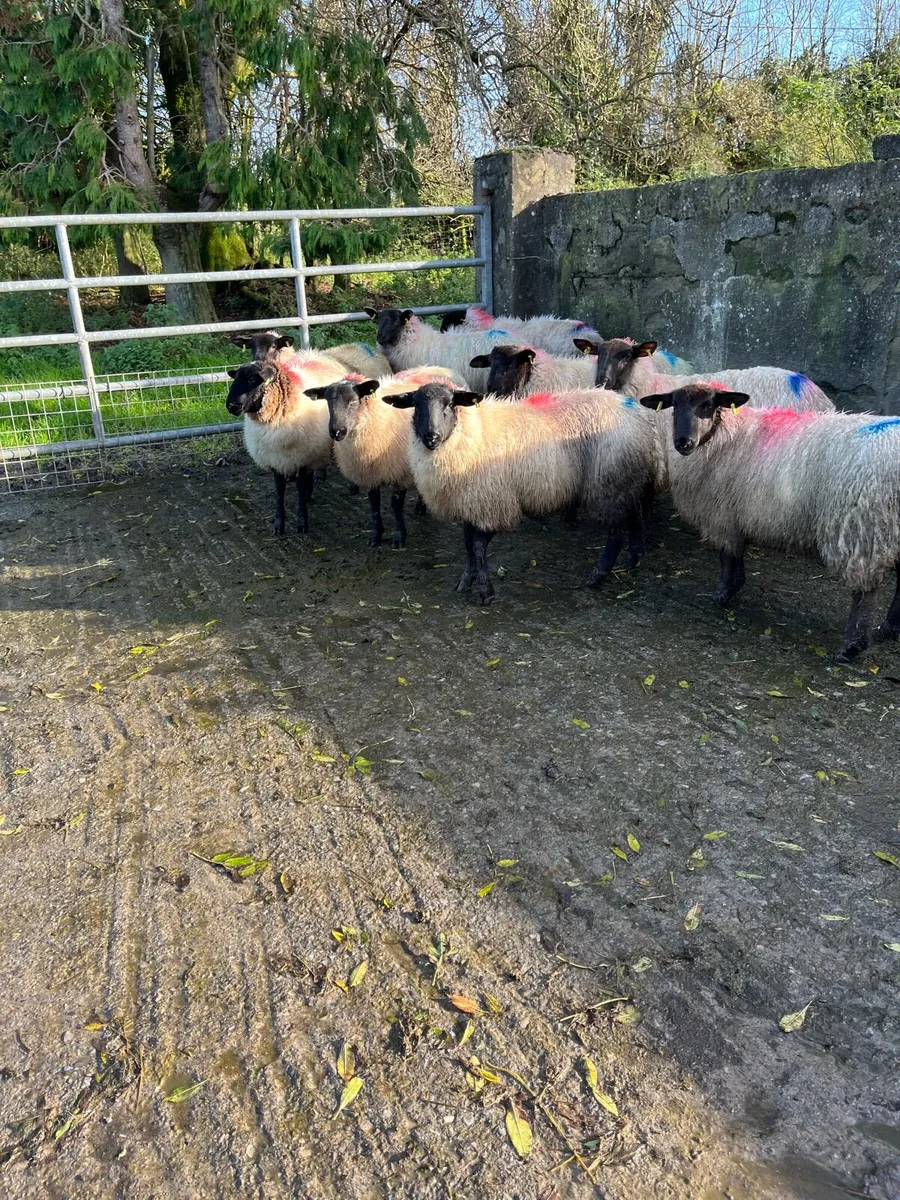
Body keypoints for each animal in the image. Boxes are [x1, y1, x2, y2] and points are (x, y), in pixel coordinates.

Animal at [225, 351, 347, 534]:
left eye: (253, 379)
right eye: (236, 378)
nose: (231, 405)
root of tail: (315, 353)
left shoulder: (301, 457)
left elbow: (300, 487)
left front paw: (302, 521)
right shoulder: (276, 458)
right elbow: (279, 491)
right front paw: (279, 523)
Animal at [303, 366, 466, 548]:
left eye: (353, 402)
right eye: (327, 403)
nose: (336, 432)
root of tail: (442, 368)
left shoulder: (402, 472)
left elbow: (396, 504)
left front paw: (399, 536)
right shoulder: (371, 472)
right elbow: (374, 503)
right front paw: (375, 535)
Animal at [383, 381, 664, 604]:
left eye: (450, 403)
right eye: (416, 405)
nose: (432, 437)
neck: (470, 433)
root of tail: (642, 420)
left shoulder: (494, 504)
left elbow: (478, 547)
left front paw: (485, 592)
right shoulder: (470, 503)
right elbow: (467, 545)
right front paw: (466, 580)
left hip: (608, 483)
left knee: (616, 533)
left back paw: (598, 575)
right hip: (627, 480)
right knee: (635, 516)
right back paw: (632, 559)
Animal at [641, 383, 900, 659]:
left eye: (708, 405)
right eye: (674, 406)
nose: (683, 442)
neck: (727, 436)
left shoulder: (723, 513)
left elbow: (727, 556)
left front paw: (722, 594)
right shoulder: (736, 513)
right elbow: (736, 554)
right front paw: (735, 586)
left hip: (863, 528)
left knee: (865, 589)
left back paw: (852, 646)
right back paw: (889, 628)